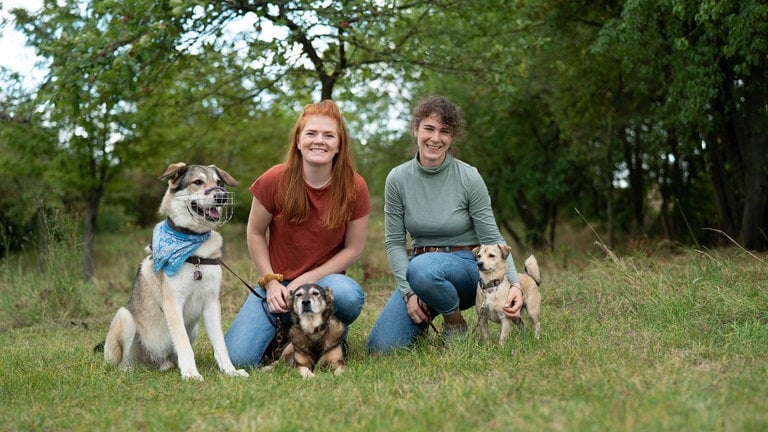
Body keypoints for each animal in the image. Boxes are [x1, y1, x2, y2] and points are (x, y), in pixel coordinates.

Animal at [102, 163, 249, 382]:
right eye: (198, 182)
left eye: (219, 182)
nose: (222, 196)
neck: (194, 251)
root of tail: (151, 362)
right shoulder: (173, 304)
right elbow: (183, 344)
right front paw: (190, 374)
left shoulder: (212, 304)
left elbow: (220, 345)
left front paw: (229, 371)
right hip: (124, 317)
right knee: (123, 363)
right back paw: (129, 369)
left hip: (193, 329)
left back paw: (166, 365)